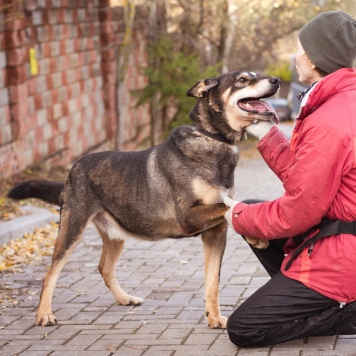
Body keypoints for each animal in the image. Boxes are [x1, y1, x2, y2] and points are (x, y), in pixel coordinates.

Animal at [6, 70, 280, 328]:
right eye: (242, 79)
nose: (276, 80)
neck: (211, 138)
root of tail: (73, 169)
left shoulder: (215, 234)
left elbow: (213, 280)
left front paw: (213, 317)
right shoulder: (188, 217)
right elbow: (228, 205)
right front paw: (255, 233)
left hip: (116, 234)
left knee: (104, 267)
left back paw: (124, 298)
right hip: (72, 228)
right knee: (51, 273)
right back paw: (44, 314)